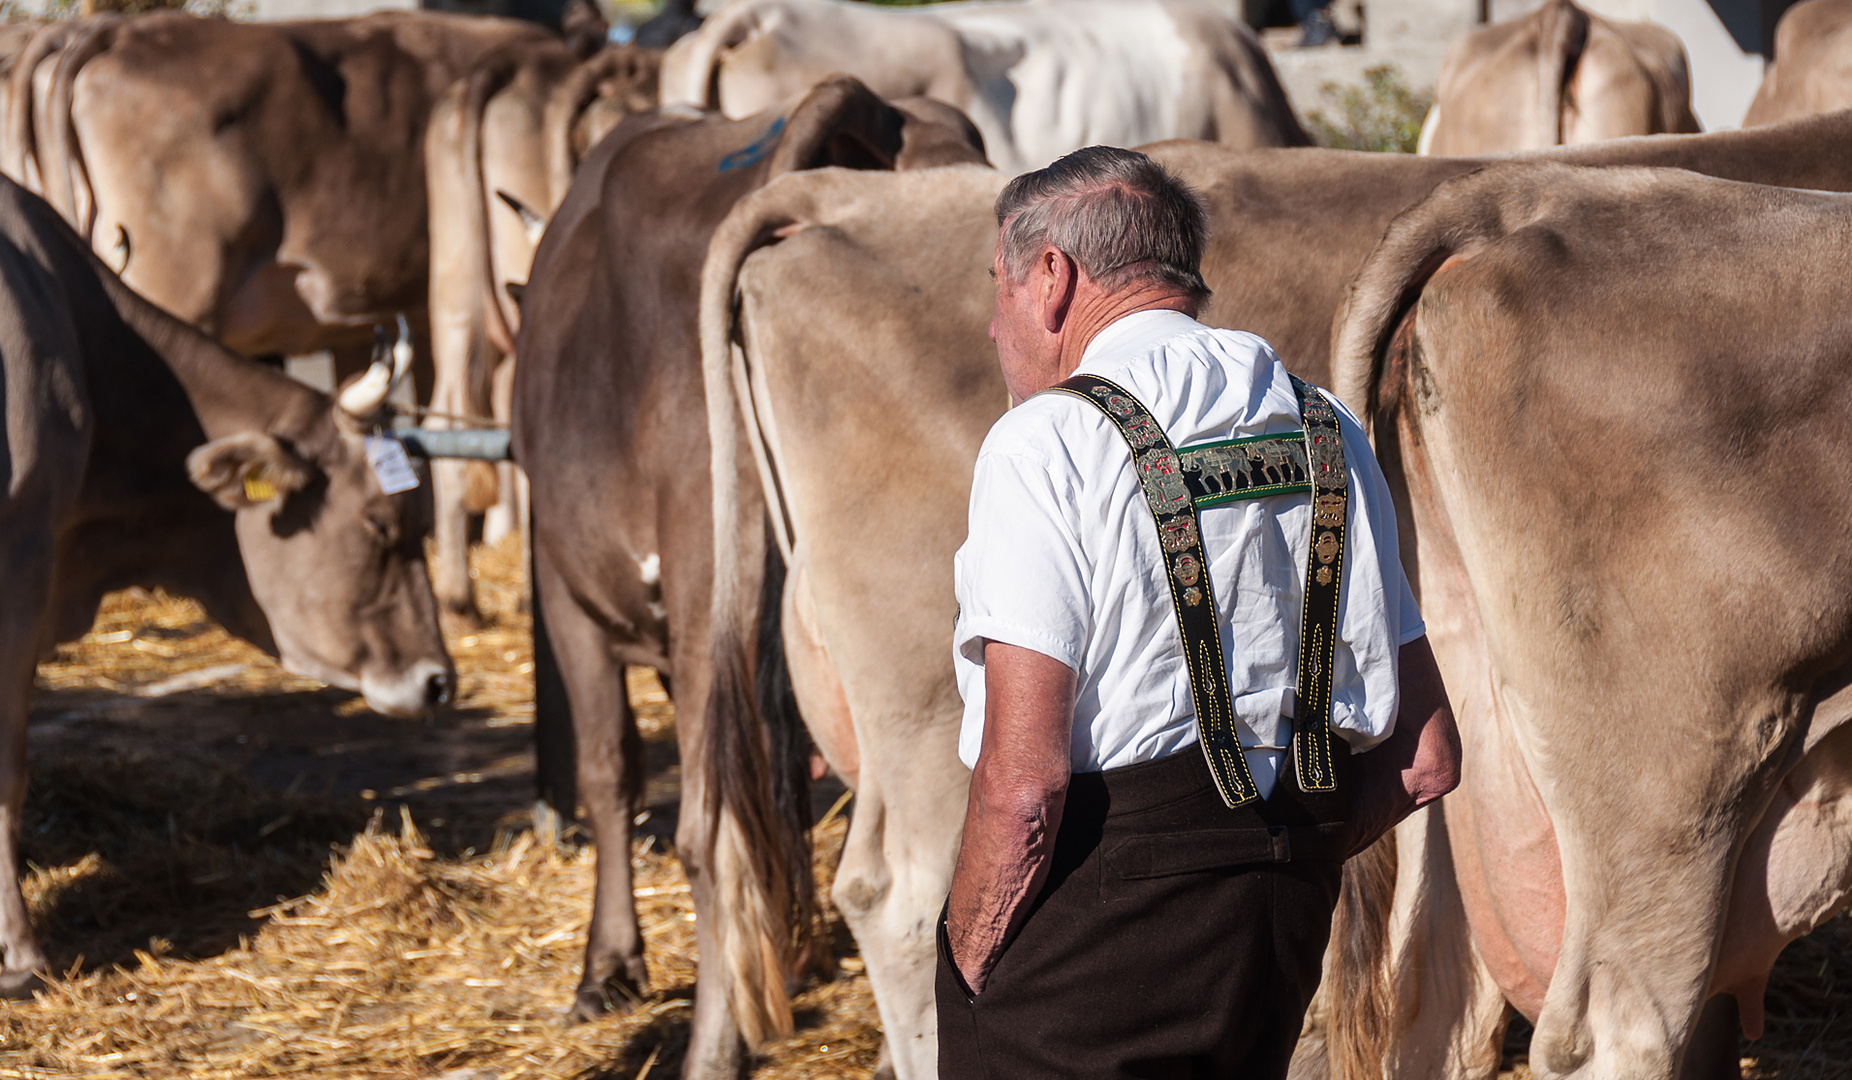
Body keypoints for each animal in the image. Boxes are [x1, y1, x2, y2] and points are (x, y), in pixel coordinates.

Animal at [507, 78, 985, 1080]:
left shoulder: (567, 596)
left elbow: (608, 771)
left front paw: (607, 967)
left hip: (706, 603)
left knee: (712, 831)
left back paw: (714, 1046)